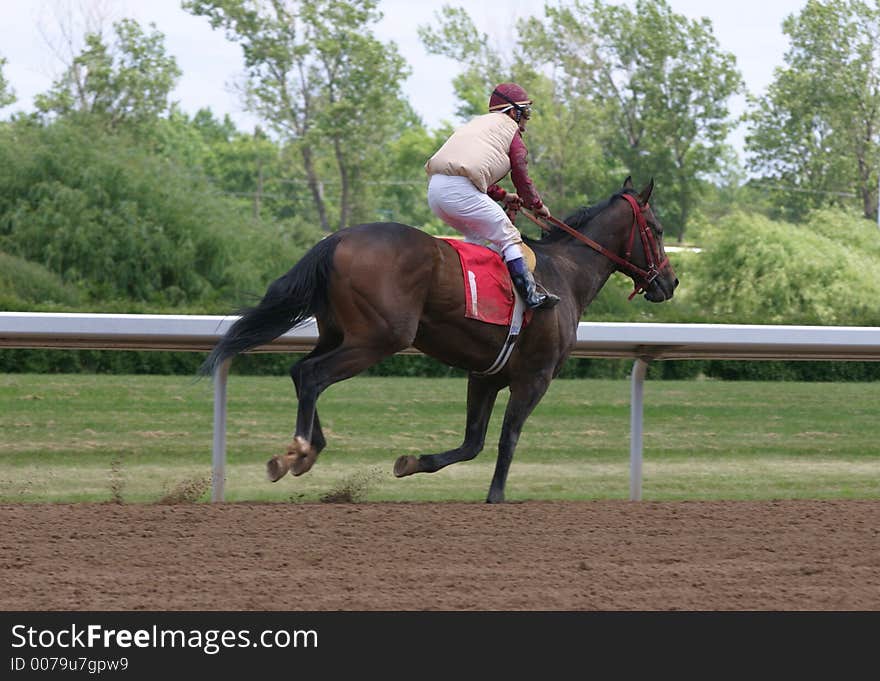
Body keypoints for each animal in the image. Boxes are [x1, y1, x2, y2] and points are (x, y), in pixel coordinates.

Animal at [201, 178, 680, 502]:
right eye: (656, 228)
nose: (670, 282)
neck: (565, 272)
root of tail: (338, 237)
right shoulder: (535, 376)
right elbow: (507, 439)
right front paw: (496, 496)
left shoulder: (485, 375)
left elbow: (473, 442)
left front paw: (412, 462)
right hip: (379, 337)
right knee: (314, 375)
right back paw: (299, 450)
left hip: (339, 332)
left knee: (300, 371)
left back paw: (306, 451)